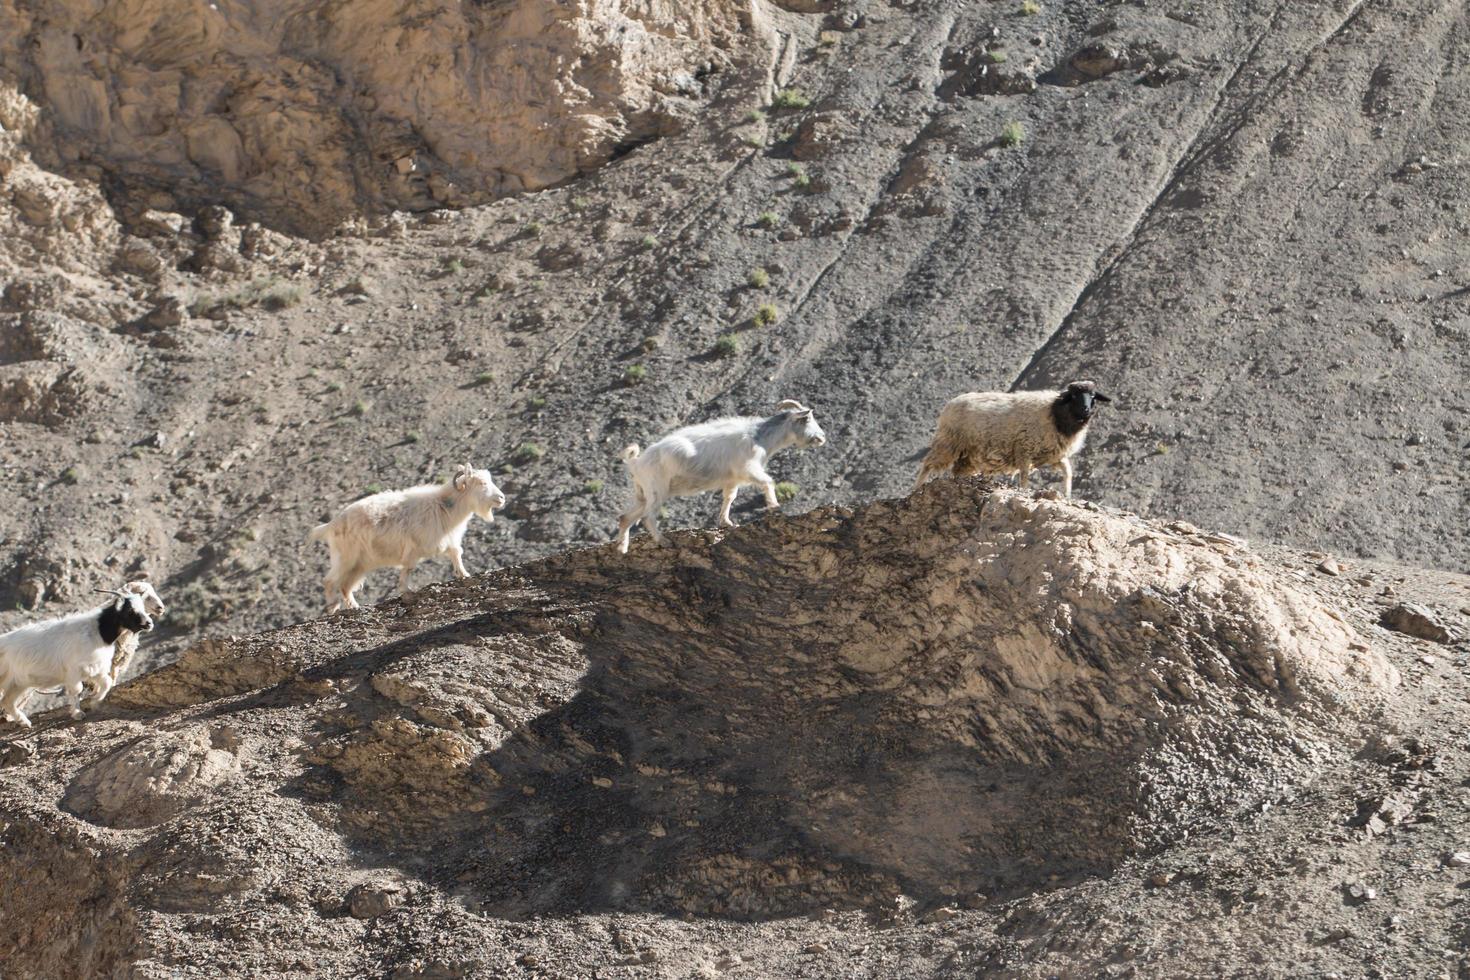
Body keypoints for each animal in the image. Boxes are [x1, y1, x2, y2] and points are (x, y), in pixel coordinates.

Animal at [0, 590, 155, 728]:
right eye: (130, 610)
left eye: (143, 607)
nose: (149, 623)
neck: (98, 632)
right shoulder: (74, 671)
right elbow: (77, 690)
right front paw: (77, 713)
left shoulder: (95, 669)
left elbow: (107, 682)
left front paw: (95, 702)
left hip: (19, 683)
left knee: (7, 701)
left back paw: (24, 722)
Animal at [308, 461, 505, 614]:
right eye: (482, 483)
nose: (501, 498)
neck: (444, 506)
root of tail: (330, 525)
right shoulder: (413, 549)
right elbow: (408, 568)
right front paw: (406, 589)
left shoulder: (446, 541)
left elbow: (456, 553)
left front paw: (463, 574)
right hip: (346, 558)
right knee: (329, 581)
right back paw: (332, 606)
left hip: (359, 564)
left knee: (345, 586)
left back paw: (354, 607)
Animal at [617, 399, 834, 552]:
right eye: (807, 419)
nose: (822, 438)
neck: (760, 437)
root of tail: (636, 462)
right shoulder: (748, 469)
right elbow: (768, 482)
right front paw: (774, 506)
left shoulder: (732, 479)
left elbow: (729, 497)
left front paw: (726, 522)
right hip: (657, 489)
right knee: (648, 517)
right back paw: (663, 541)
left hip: (642, 494)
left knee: (625, 517)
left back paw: (622, 548)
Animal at [911, 379, 1105, 499]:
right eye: (1074, 396)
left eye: (1093, 396)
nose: (1086, 409)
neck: (1056, 413)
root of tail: (951, 403)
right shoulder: (1025, 448)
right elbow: (1024, 476)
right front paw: (1025, 491)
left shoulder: (1055, 454)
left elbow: (1068, 472)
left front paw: (1067, 495)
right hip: (948, 442)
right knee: (928, 464)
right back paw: (917, 488)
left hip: (968, 454)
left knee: (957, 470)